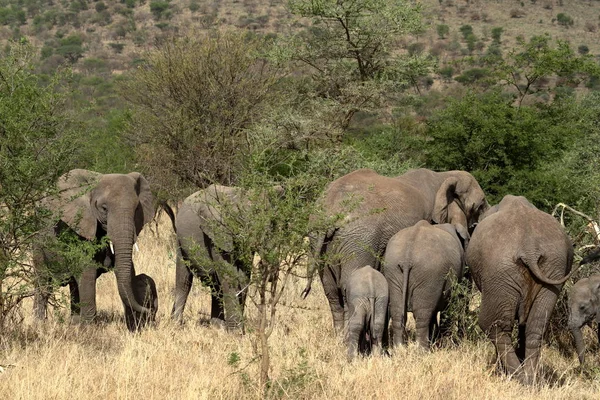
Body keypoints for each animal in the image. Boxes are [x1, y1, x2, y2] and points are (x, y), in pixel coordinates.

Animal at [33, 169, 156, 332]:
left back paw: (74, 324)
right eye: (104, 208)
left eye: (137, 209)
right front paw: (89, 330)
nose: (150, 310)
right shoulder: (79, 227)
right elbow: (87, 272)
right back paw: (39, 324)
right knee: (43, 282)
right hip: (37, 241)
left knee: (74, 285)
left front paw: (134, 327)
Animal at [302, 167, 490, 332]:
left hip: (320, 239)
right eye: (480, 205)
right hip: (359, 238)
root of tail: (330, 209)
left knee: (331, 290)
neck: (445, 176)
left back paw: (340, 336)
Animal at [384, 220, 468, 348]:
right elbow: (448, 305)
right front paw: (444, 343)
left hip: (392, 269)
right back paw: (422, 349)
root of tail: (407, 257)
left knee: (397, 312)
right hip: (429, 274)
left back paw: (399, 348)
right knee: (422, 315)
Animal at [466, 195, 576, 386]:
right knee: (536, 325)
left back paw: (515, 376)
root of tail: (530, 247)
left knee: (494, 325)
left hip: (498, 270)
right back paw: (530, 380)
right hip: (553, 267)